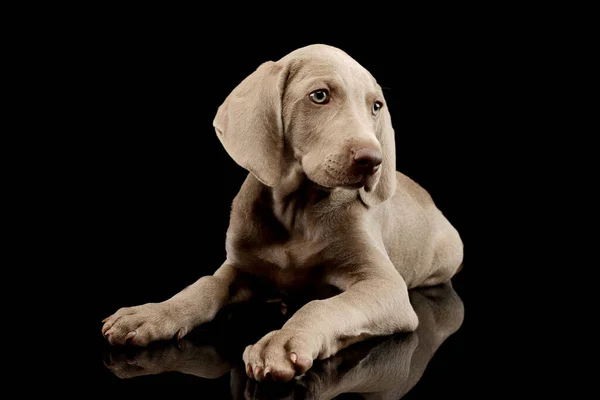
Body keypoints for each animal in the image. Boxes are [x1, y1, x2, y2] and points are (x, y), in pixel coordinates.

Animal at [102, 43, 464, 382]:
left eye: (376, 106)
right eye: (319, 96)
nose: (372, 161)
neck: (298, 212)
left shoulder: (385, 286)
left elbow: (326, 305)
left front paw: (282, 342)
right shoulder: (240, 266)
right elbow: (205, 285)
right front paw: (151, 314)